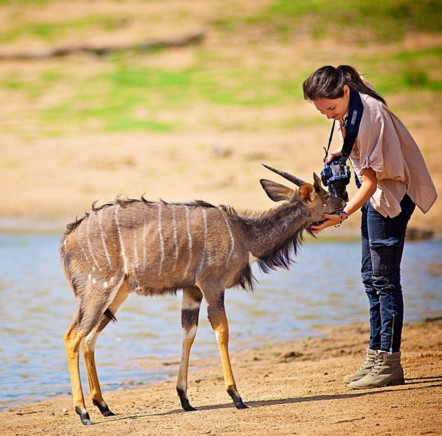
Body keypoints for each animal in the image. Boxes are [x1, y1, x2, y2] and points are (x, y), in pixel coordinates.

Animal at [59, 165, 346, 424]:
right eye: (323, 195)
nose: (343, 201)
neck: (244, 236)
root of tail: (66, 241)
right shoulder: (211, 284)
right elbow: (222, 331)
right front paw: (236, 396)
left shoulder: (192, 289)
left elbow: (189, 333)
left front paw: (185, 399)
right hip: (100, 288)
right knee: (73, 336)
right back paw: (83, 412)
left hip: (115, 294)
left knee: (88, 339)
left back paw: (103, 406)